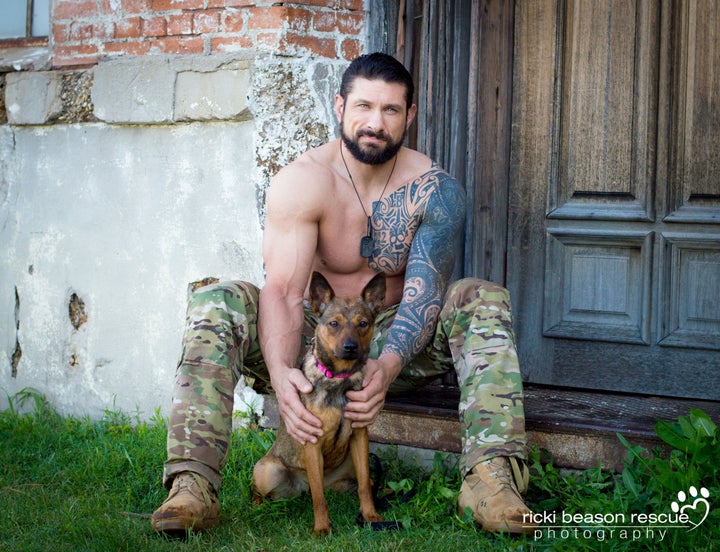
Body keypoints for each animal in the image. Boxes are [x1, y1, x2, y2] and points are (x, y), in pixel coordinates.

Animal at [253, 272, 388, 536]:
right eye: (333, 324)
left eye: (363, 323)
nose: (350, 348)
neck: (339, 379)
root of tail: (301, 486)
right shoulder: (312, 441)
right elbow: (319, 498)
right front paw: (322, 528)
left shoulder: (360, 437)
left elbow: (364, 486)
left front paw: (370, 515)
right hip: (268, 471)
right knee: (278, 491)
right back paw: (257, 506)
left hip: (349, 464)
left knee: (363, 481)